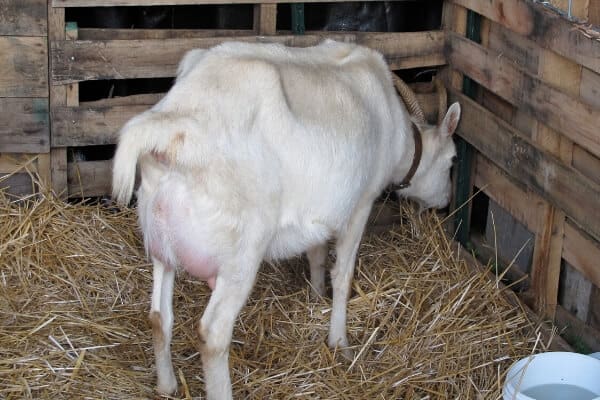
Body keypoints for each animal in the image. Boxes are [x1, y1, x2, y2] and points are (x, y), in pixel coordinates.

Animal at [111, 39, 460, 400]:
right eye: (451, 160)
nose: (446, 201)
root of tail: (171, 128)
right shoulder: (361, 203)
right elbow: (343, 275)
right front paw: (340, 343)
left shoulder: (320, 212)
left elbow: (316, 253)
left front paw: (316, 295)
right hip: (241, 252)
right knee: (213, 334)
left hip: (160, 240)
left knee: (158, 316)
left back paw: (167, 384)